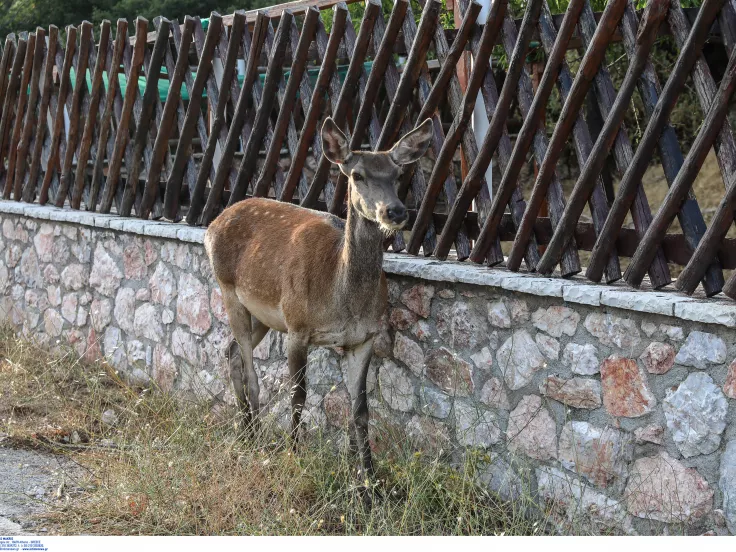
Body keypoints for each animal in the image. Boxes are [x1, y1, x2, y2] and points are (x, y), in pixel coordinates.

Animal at [204, 115, 434, 474]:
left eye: (398, 175)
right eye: (357, 174)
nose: (395, 212)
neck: (341, 300)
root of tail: (212, 224)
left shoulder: (363, 337)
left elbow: (360, 409)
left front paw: (367, 475)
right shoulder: (297, 327)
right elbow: (298, 395)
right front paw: (294, 455)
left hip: (263, 315)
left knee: (231, 352)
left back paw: (247, 431)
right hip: (228, 290)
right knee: (249, 368)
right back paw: (254, 437)